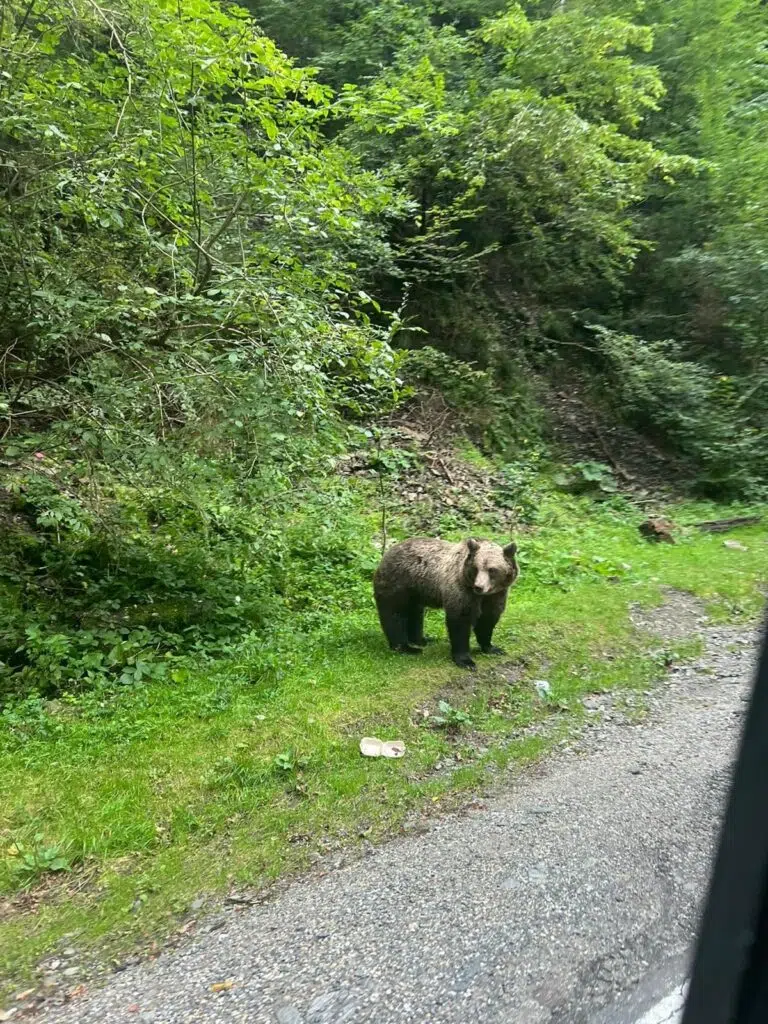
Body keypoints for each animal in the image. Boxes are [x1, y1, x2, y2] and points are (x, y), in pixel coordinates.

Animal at [374, 536, 520, 671]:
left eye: (492, 570)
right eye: (476, 568)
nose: (479, 587)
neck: (482, 596)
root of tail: (389, 552)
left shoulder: (496, 596)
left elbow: (487, 620)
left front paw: (492, 648)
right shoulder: (461, 591)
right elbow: (460, 623)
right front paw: (466, 661)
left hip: (416, 592)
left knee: (415, 614)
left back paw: (422, 640)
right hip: (398, 583)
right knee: (395, 614)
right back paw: (405, 647)